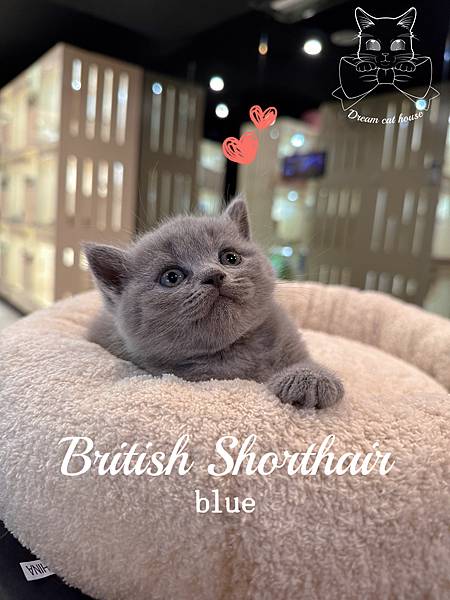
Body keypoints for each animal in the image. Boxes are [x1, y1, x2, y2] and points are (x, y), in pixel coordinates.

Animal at [84, 197, 344, 409]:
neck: (239, 348)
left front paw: (310, 378)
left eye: (230, 257)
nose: (214, 275)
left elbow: (305, 360)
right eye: (171, 277)